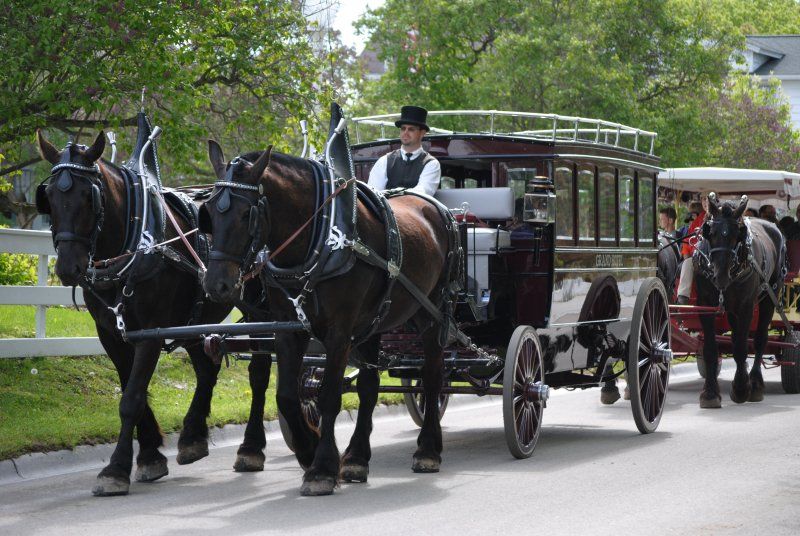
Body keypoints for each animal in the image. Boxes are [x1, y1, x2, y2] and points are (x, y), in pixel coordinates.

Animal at [35, 130, 270, 496]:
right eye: (47, 197)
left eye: (90, 196)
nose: (68, 267)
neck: (135, 244)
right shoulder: (112, 333)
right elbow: (132, 389)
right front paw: (149, 455)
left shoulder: (152, 331)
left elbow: (132, 397)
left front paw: (116, 469)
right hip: (196, 317)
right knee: (207, 369)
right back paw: (192, 437)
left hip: (262, 312)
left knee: (259, 374)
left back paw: (251, 447)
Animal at [201, 141, 460, 496]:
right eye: (209, 212)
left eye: (245, 214)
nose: (216, 285)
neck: (319, 239)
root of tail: (435, 208)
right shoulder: (287, 328)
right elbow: (286, 394)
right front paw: (309, 451)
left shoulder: (339, 331)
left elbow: (328, 396)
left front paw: (321, 468)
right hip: (374, 321)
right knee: (368, 386)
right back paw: (356, 458)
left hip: (430, 312)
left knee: (433, 375)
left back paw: (428, 450)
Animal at [694, 193, 785, 408]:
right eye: (711, 233)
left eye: (737, 235)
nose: (721, 277)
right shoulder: (705, 305)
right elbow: (711, 349)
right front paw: (710, 393)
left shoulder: (745, 307)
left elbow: (742, 348)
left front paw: (742, 388)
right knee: (736, 338)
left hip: (769, 297)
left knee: (759, 340)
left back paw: (755, 384)